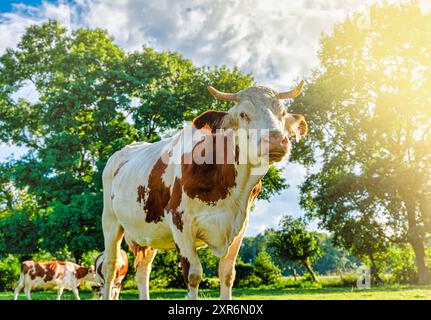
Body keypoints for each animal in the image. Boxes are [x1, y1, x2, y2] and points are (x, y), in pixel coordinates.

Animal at [102, 80, 308, 300]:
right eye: (243, 114)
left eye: (282, 112)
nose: (276, 140)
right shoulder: (180, 222)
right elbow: (193, 275)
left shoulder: (240, 227)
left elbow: (227, 274)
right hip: (110, 221)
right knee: (110, 267)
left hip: (147, 232)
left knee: (142, 271)